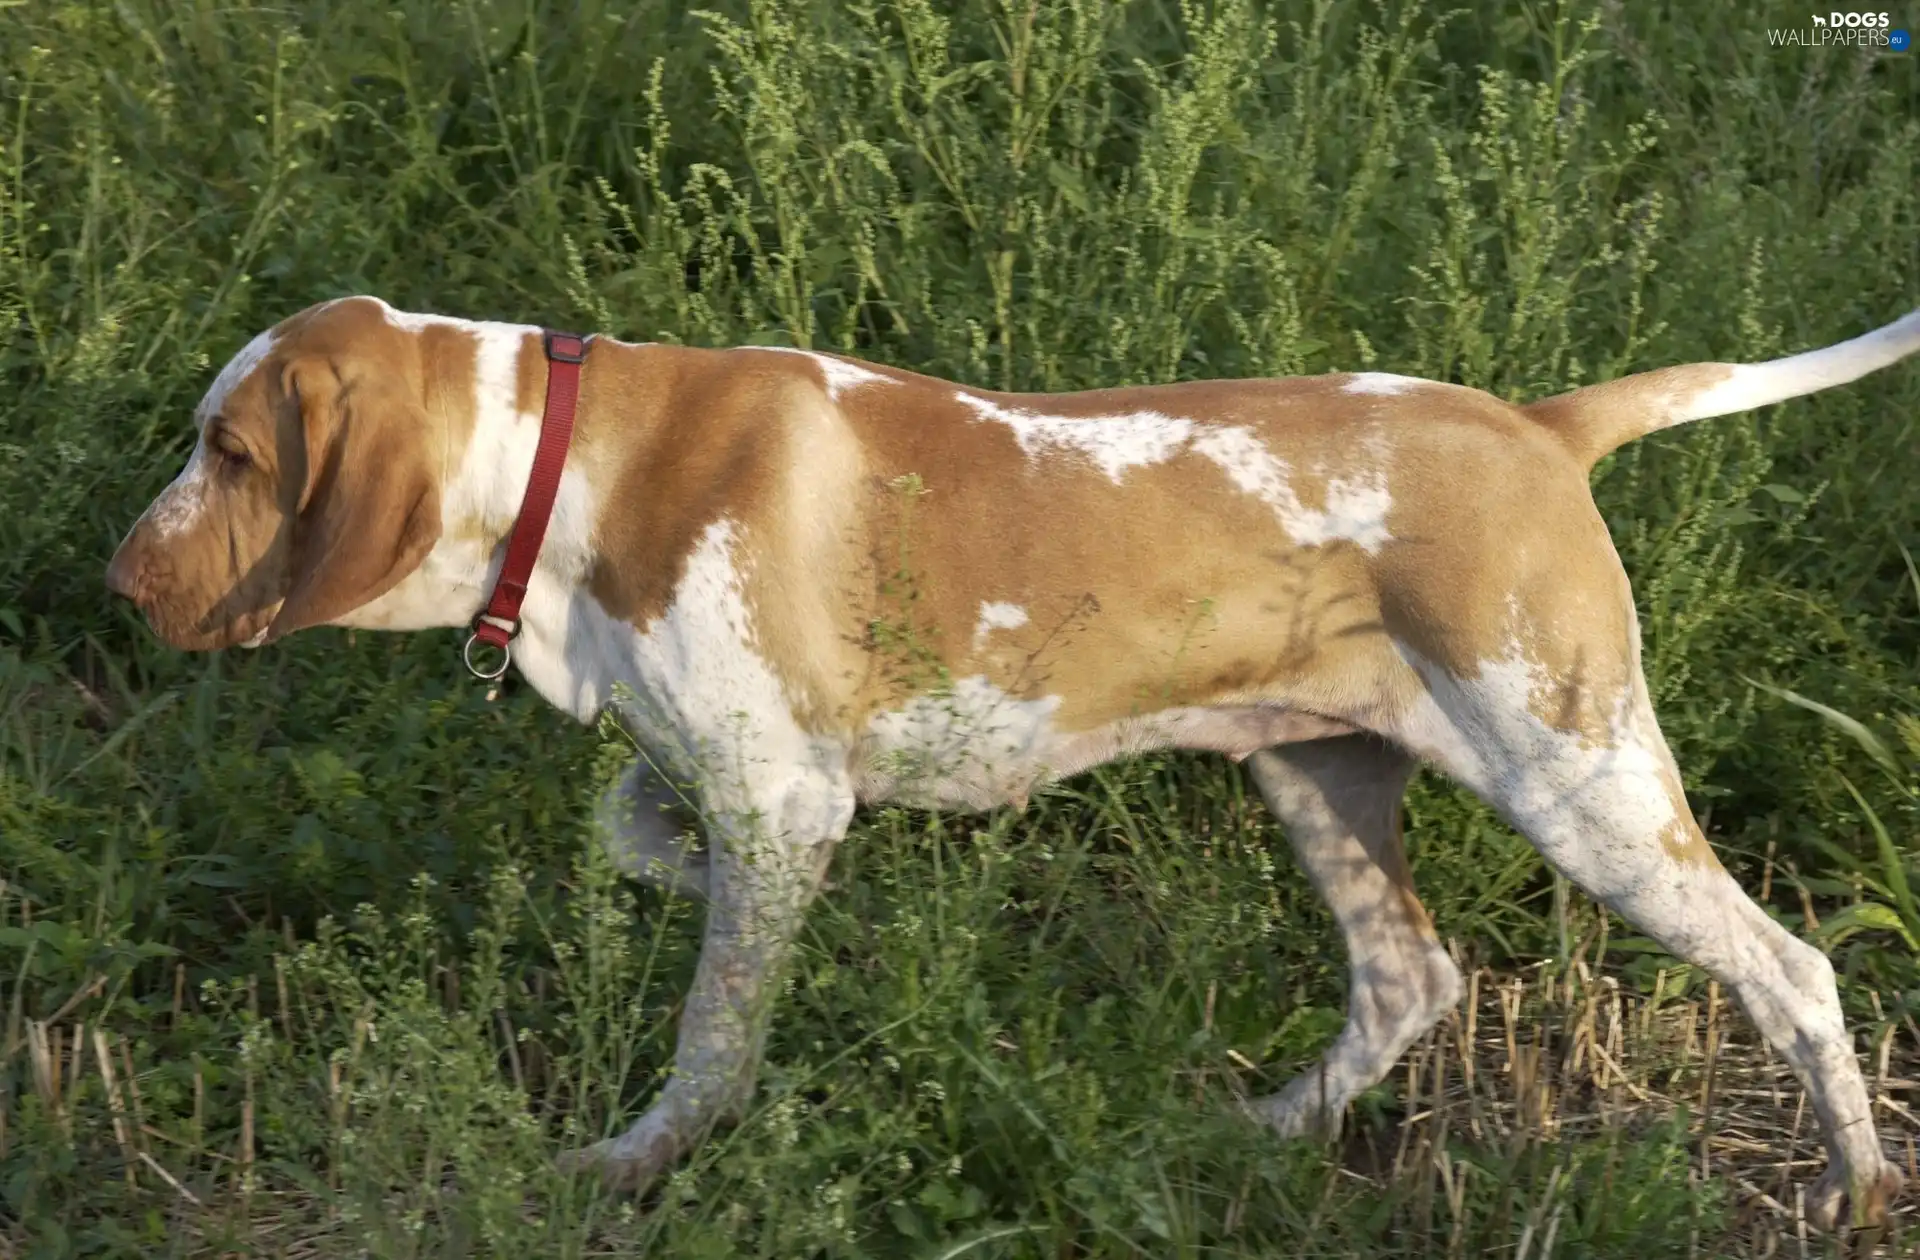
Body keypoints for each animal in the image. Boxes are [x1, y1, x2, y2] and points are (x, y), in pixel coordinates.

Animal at [108, 291, 1920, 1221]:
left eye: (230, 451)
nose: (121, 579)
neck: (572, 459)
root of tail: (1540, 430)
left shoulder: (779, 793)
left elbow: (706, 1041)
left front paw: (635, 1165)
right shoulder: (742, 783)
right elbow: (654, 849)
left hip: (1579, 783)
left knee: (1795, 970)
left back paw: (1854, 1191)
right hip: (1318, 774)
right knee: (1412, 979)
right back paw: (1253, 1134)